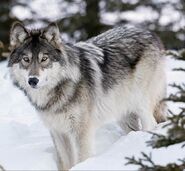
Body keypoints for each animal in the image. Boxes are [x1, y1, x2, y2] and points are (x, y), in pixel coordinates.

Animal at [8, 21, 166, 170]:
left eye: (44, 59)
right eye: (26, 59)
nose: (33, 80)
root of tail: (149, 32)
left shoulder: (81, 131)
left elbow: (81, 158)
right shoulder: (58, 132)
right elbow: (65, 162)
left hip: (140, 104)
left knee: (151, 124)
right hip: (123, 115)